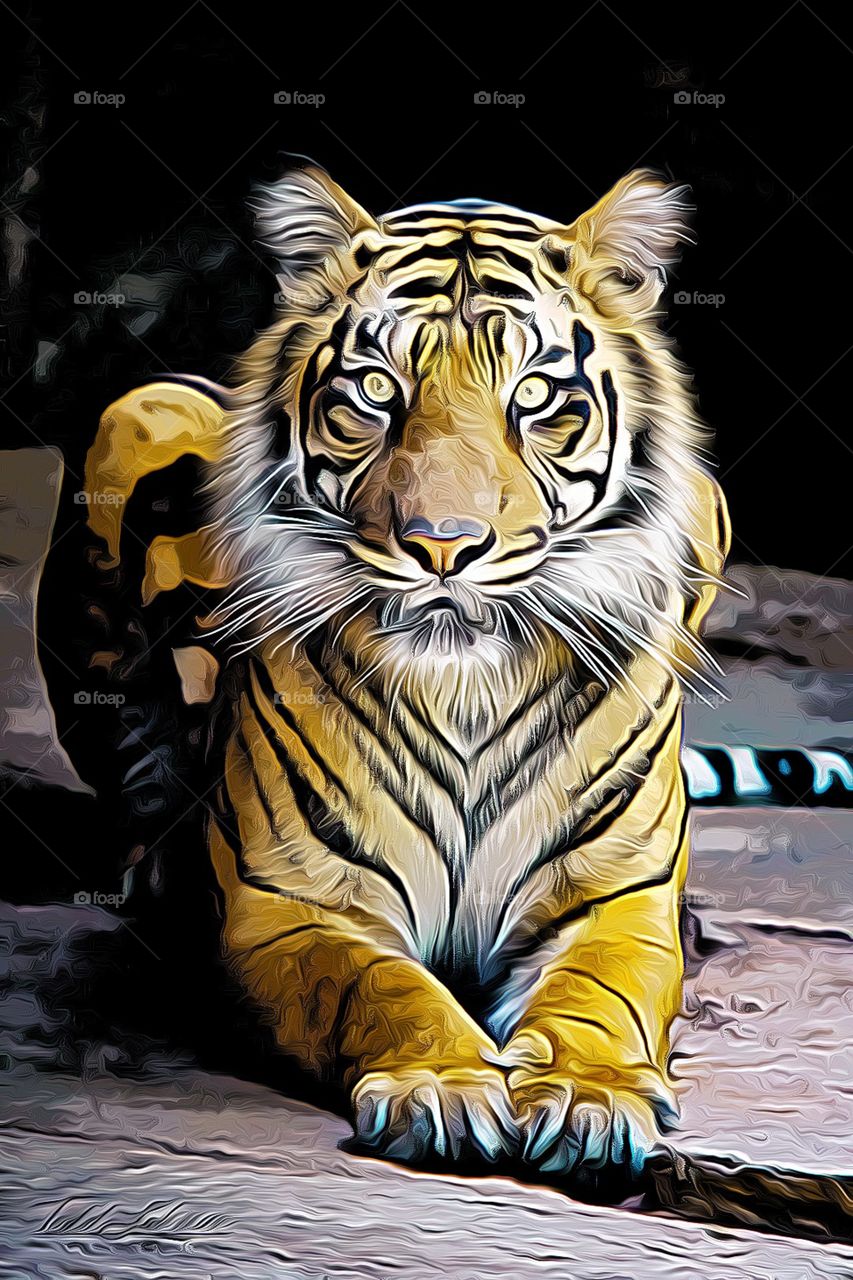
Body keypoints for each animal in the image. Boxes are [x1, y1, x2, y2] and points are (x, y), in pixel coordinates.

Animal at [86, 163, 729, 1176]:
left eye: (536, 397)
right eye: (375, 392)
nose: (442, 546)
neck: (466, 690)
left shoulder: (615, 898)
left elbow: (599, 997)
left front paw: (586, 1096)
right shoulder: (295, 904)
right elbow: (381, 987)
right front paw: (443, 1085)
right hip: (141, 413)